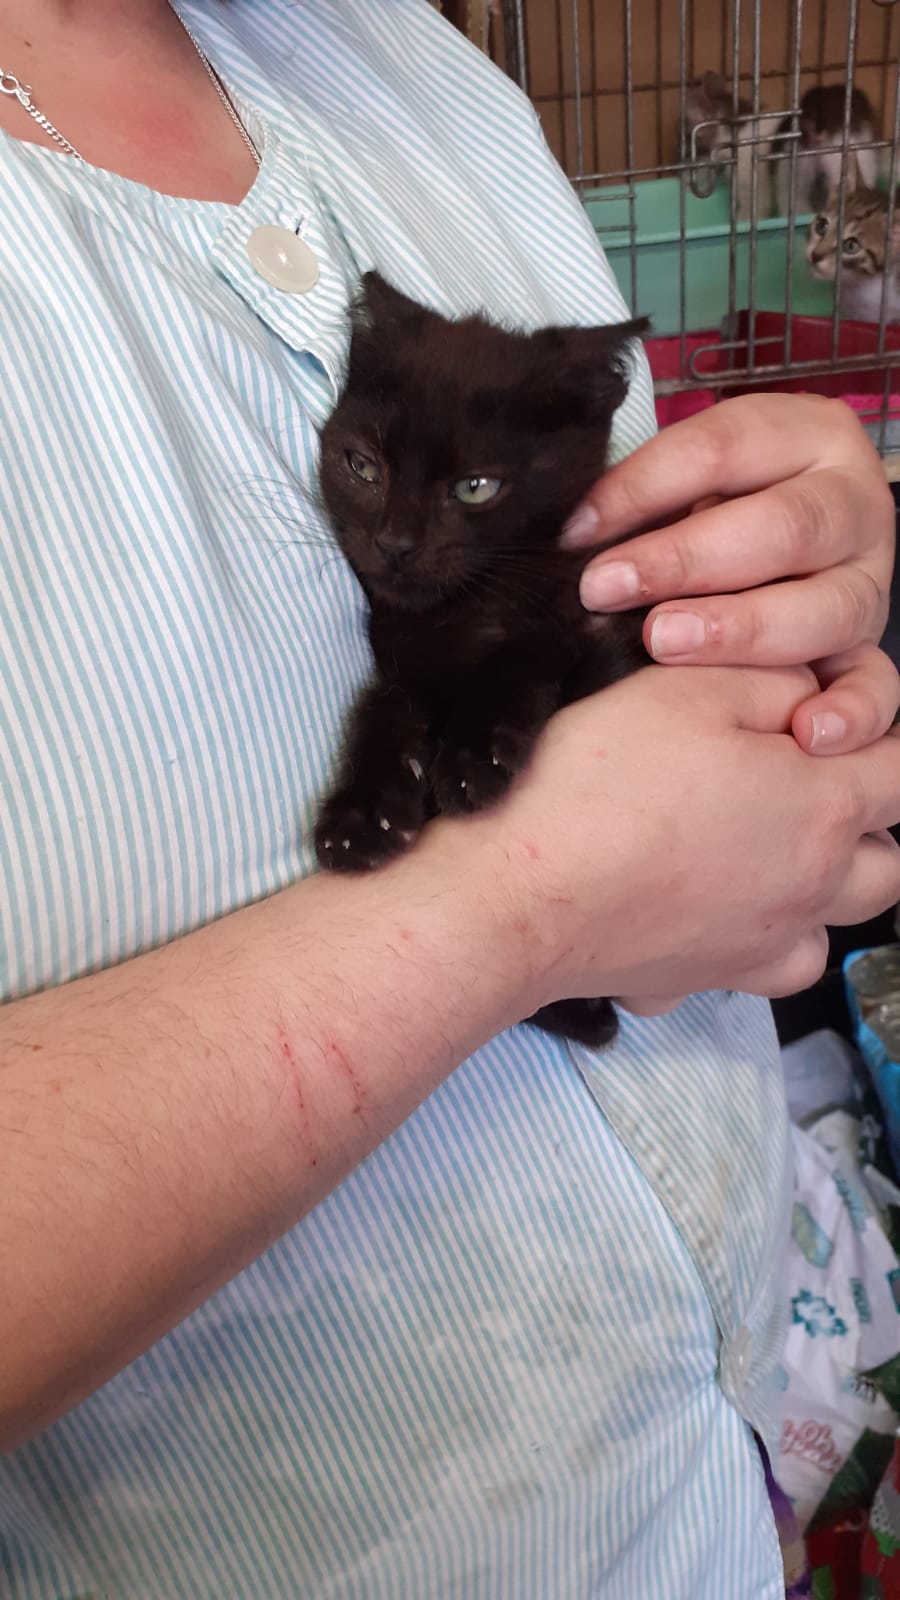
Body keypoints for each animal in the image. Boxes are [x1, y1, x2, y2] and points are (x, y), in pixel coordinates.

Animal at [314, 271, 651, 1048]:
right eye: (363, 467)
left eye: (474, 488)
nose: (395, 544)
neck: (457, 615)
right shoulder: (397, 653)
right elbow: (381, 700)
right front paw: (364, 811)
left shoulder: (597, 621)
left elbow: (533, 647)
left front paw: (470, 756)